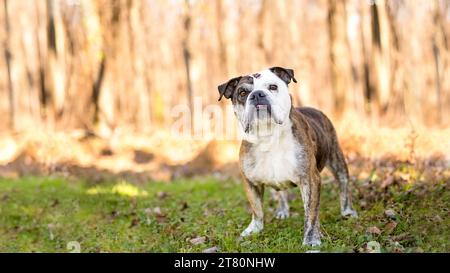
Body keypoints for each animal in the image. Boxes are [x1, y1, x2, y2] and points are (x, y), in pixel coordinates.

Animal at [218, 66, 358, 246]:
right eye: (242, 93)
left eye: (273, 87)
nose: (257, 94)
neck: (268, 137)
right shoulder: (251, 182)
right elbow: (256, 208)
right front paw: (254, 229)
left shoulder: (309, 179)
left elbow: (311, 214)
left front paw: (311, 239)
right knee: (280, 192)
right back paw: (282, 210)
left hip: (336, 159)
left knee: (343, 183)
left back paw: (347, 211)